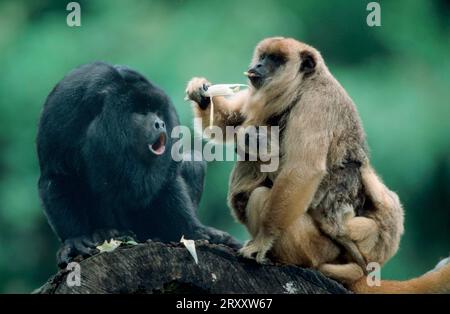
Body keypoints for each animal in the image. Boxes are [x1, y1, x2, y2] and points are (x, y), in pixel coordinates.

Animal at [184, 38, 450, 292]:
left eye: (275, 60)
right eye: (263, 56)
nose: (257, 65)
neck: (303, 84)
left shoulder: (316, 104)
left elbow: (303, 169)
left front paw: (263, 240)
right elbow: (228, 125)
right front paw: (202, 93)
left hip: (317, 246)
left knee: (260, 195)